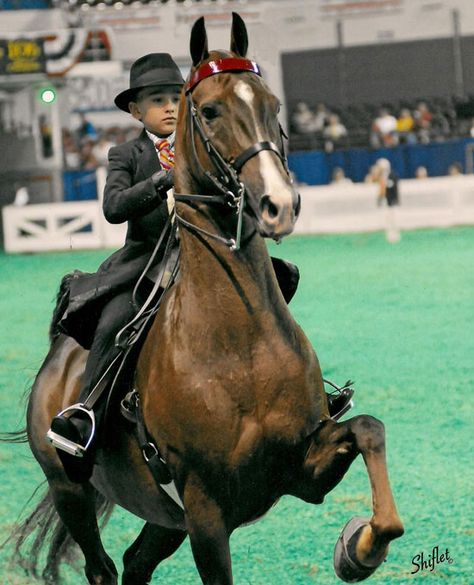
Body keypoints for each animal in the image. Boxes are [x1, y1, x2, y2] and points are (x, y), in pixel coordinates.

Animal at [8, 13, 404, 584]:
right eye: (211, 110)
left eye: (273, 106)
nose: (279, 204)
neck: (240, 346)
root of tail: (58, 357)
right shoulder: (205, 512)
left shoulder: (302, 469)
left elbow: (369, 429)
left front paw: (362, 546)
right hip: (72, 491)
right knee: (102, 566)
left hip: (163, 516)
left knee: (135, 562)